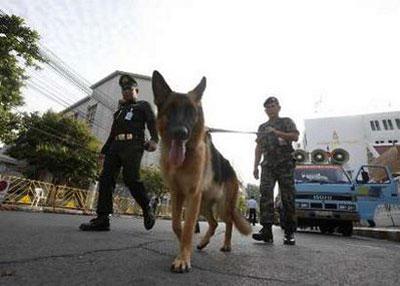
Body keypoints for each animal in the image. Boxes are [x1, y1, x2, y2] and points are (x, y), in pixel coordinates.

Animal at [152, 70, 250, 272]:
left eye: (191, 111)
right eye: (171, 109)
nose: (181, 133)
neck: (185, 158)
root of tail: (232, 171)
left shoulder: (191, 194)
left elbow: (189, 227)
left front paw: (183, 258)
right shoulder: (177, 194)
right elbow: (177, 225)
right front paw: (185, 248)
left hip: (222, 205)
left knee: (228, 222)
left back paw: (226, 244)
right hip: (204, 203)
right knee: (214, 223)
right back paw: (203, 242)